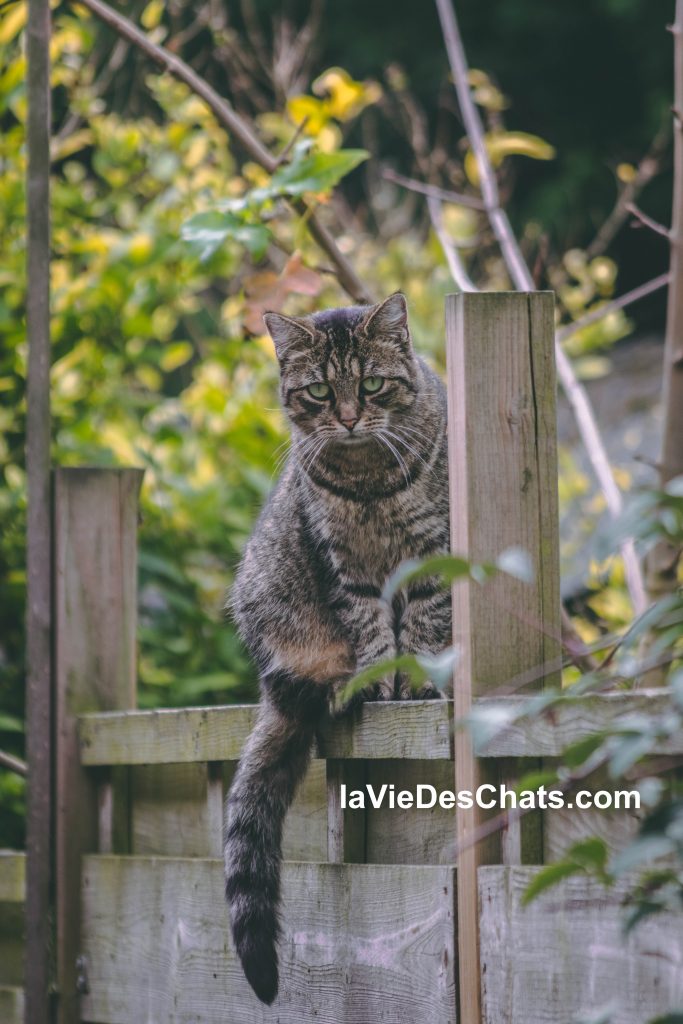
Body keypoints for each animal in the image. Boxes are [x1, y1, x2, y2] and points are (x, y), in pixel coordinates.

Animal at [222, 292, 450, 1003]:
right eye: (321, 392)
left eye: (371, 385)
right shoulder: (343, 565)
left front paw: (420, 680)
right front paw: (379, 679)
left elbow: (425, 619)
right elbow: (371, 627)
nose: (347, 419)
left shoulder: (432, 552)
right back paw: (340, 684)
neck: (367, 477)